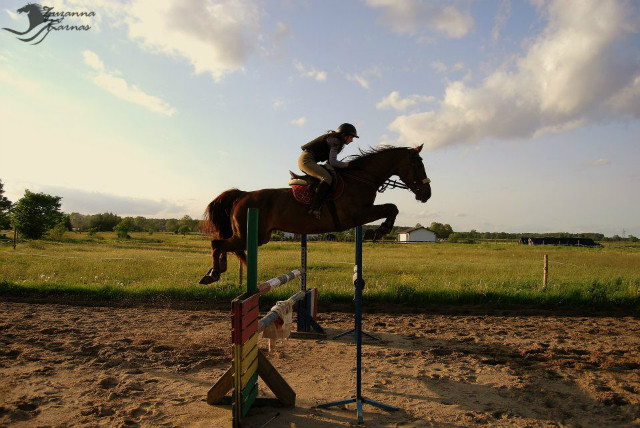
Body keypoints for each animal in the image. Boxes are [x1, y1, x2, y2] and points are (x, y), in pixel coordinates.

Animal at [198, 145, 432, 284]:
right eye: (417, 164)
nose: (426, 194)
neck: (362, 178)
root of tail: (243, 195)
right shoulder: (358, 214)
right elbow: (392, 207)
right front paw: (378, 232)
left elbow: (392, 207)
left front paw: (378, 232)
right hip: (249, 235)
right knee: (217, 244)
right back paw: (214, 273)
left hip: (257, 237)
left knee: (224, 245)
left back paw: (218, 271)